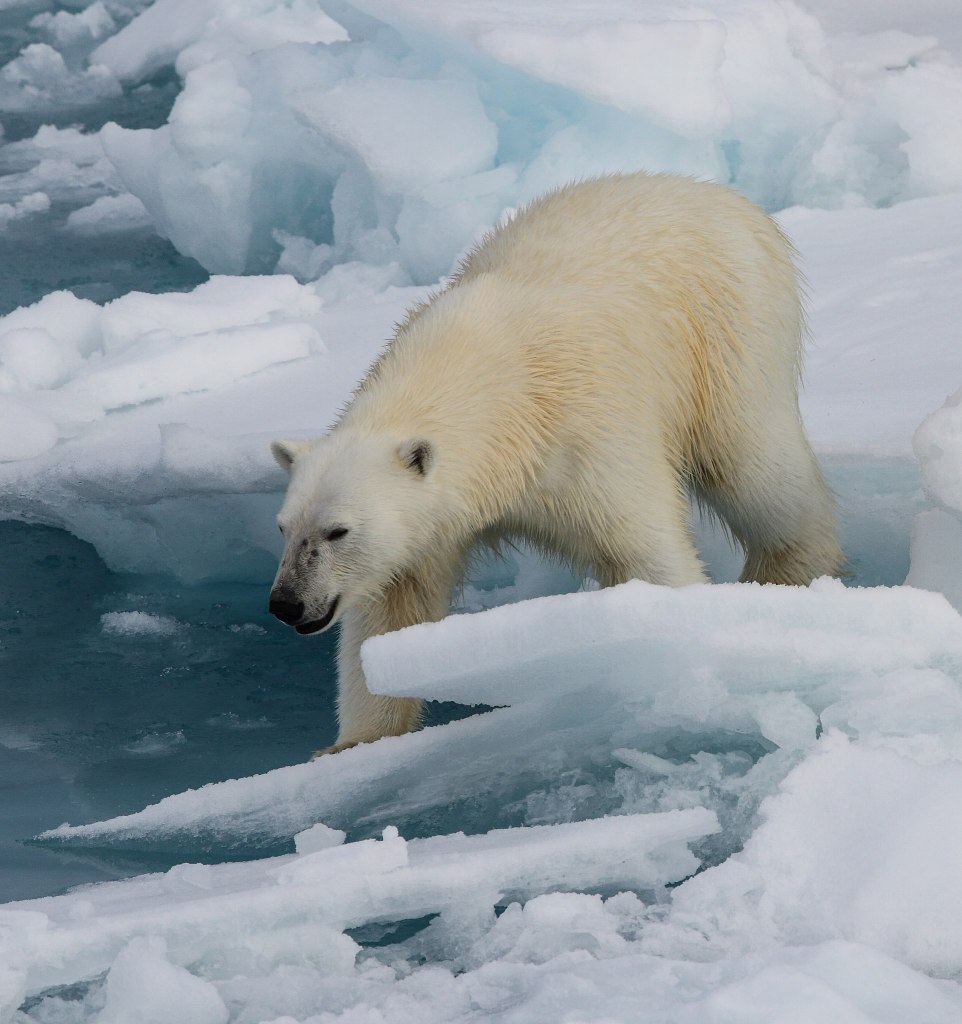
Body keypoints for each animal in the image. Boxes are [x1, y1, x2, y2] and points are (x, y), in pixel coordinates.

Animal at [269, 172, 843, 756]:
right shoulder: (432, 527)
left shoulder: (585, 438)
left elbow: (647, 553)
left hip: (730, 331)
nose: (285, 603)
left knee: (755, 464)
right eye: (284, 528)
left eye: (337, 531)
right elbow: (392, 610)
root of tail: (725, 197)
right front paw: (349, 745)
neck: (495, 393)